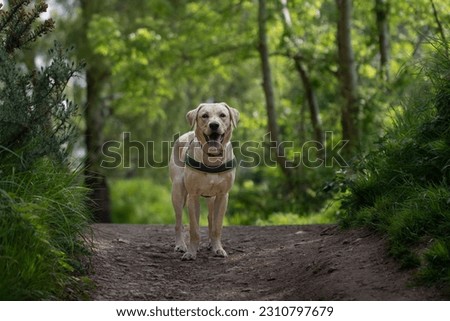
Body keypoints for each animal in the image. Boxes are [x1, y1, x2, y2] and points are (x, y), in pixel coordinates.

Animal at [169, 102, 239, 260]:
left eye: (222, 115)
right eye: (204, 115)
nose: (214, 125)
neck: (212, 157)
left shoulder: (222, 196)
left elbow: (217, 226)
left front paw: (218, 248)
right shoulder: (193, 196)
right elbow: (194, 229)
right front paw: (191, 252)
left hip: (211, 198)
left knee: (210, 218)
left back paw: (210, 244)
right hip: (178, 191)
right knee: (178, 222)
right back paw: (180, 244)